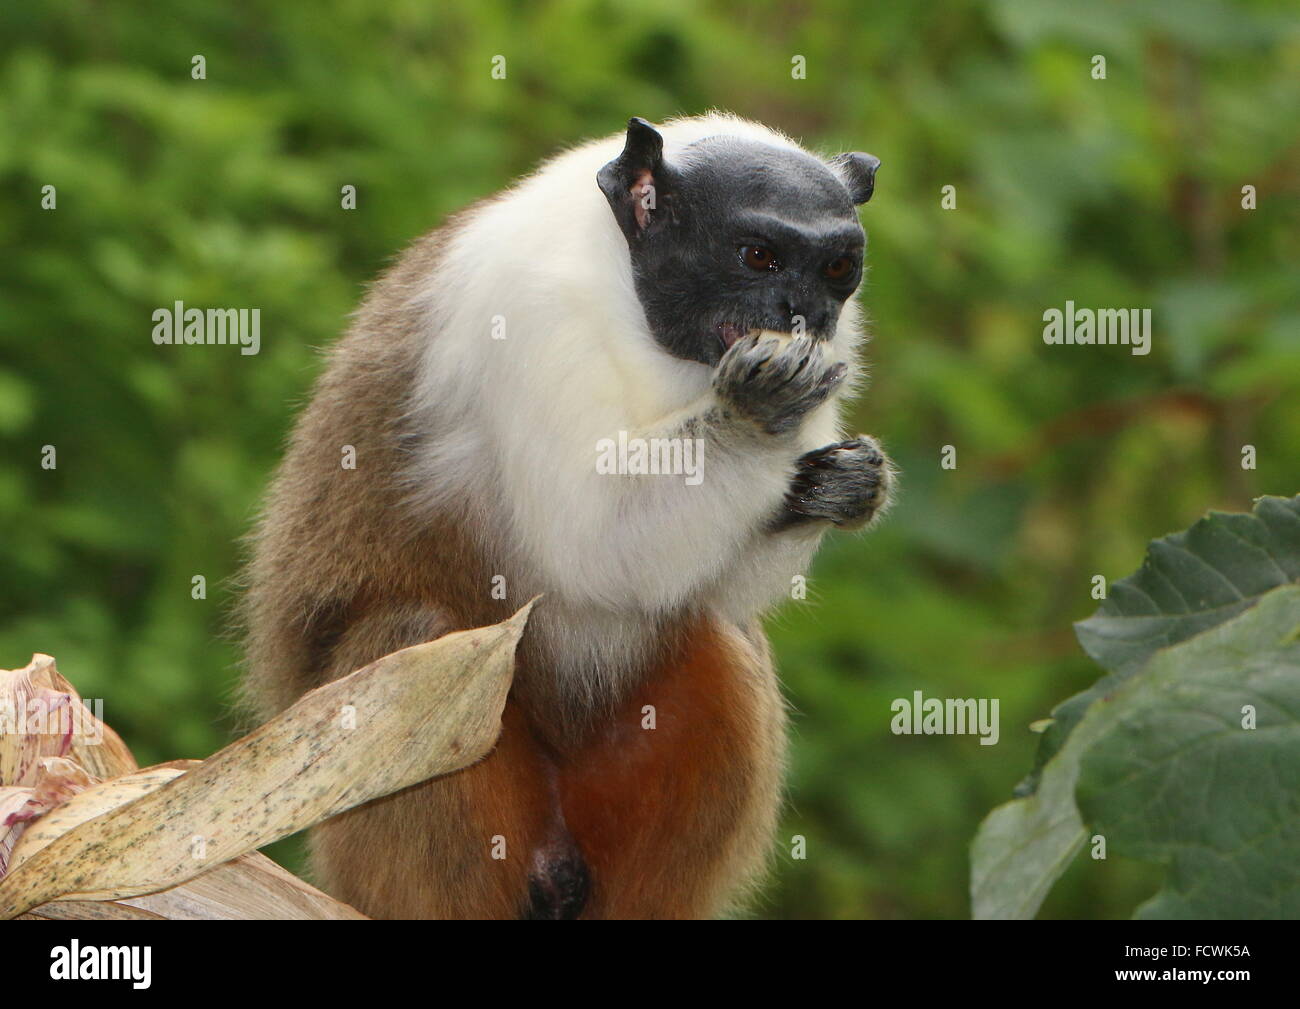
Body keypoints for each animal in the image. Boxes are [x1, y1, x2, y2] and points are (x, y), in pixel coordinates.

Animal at [241, 114, 894, 920]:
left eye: (836, 270)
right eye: (760, 257)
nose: (803, 315)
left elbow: (719, 589)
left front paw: (838, 488)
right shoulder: (530, 310)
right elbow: (588, 539)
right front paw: (753, 410)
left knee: (721, 638)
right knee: (413, 641)